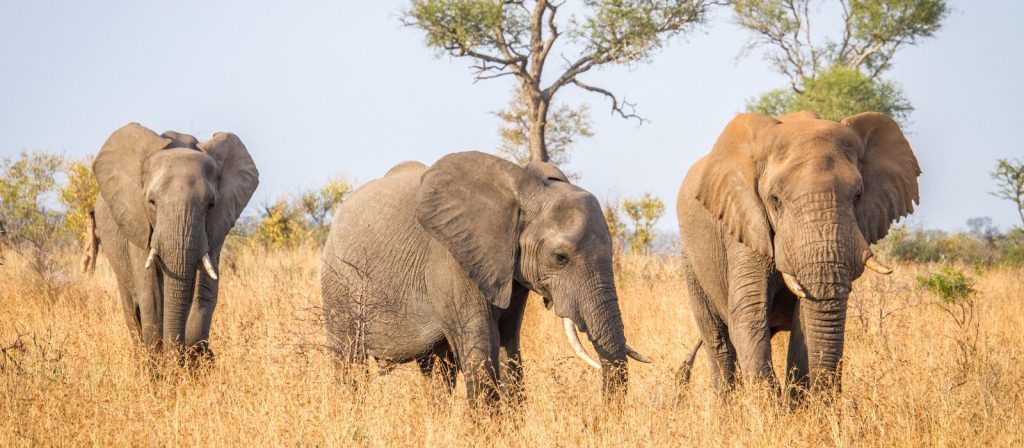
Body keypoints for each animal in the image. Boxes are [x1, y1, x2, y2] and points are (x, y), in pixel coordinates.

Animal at [93, 123, 260, 364]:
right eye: (151, 202)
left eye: (211, 204)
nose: (174, 356)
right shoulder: (137, 220)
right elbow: (151, 293)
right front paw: (160, 366)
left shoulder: (215, 227)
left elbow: (204, 290)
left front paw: (194, 361)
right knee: (131, 308)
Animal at [321, 151, 647, 405]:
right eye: (560, 258)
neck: (525, 190)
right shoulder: (451, 260)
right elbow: (480, 345)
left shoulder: (511, 271)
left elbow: (508, 344)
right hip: (338, 281)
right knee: (348, 358)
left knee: (437, 369)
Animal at [675, 112, 925, 394]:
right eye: (774, 200)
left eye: (858, 196)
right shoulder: (745, 226)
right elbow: (748, 314)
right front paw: (770, 403)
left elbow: (803, 321)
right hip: (691, 260)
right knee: (718, 341)